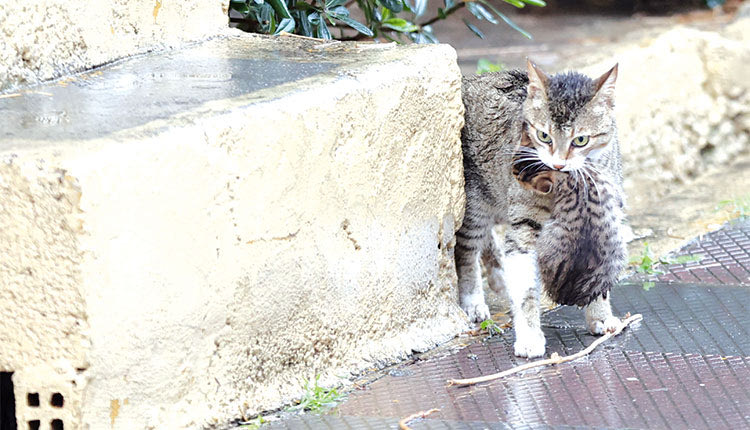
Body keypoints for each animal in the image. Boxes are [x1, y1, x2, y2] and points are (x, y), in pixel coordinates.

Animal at [458, 59, 628, 356]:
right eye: (543, 135)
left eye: (581, 140)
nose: (558, 163)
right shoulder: (523, 227)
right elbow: (526, 291)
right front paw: (529, 338)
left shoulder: (606, 219)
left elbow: (600, 271)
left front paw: (600, 316)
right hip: (476, 204)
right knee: (466, 251)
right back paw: (473, 300)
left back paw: (499, 275)